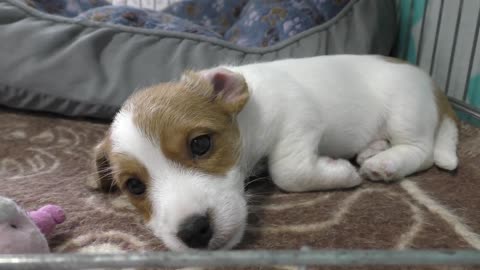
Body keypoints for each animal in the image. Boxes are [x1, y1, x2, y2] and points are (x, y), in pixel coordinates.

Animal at [93, 54, 458, 251]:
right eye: (134, 186)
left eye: (200, 144)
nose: (194, 232)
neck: (250, 116)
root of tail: (433, 84)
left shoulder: (300, 119)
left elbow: (288, 173)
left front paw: (340, 172)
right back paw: (373, 149)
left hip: (405, 111)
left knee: (423, 151)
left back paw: (385, 162)